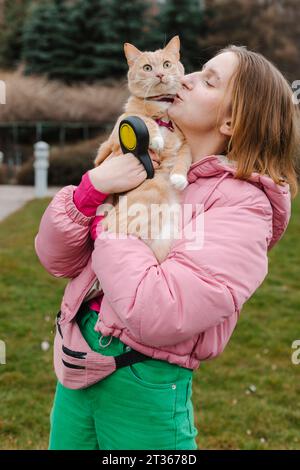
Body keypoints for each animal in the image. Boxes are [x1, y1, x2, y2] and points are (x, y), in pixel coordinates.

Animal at [94, 35, 192, 264]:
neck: (163, 112)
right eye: (148, 68)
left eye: (167, 64)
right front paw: (155, 138)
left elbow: (185, 156)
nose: (160, 74)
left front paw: (179, 177)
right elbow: (142, 118)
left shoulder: (185, 142)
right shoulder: (120, 128)